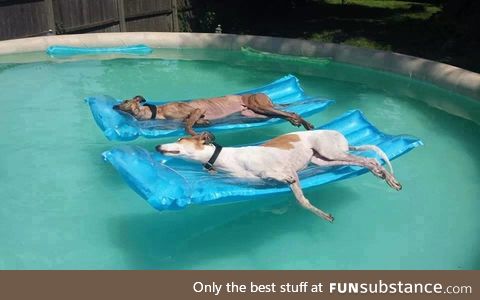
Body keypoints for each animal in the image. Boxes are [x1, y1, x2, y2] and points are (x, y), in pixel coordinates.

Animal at [157, 130, 402, 221]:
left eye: (180, 140)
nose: (158, 147)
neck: (227, 158)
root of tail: (342, 136)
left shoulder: (288, 170)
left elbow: (290, 187)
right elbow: (301, 200)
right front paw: (322, 214)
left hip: (332, 151)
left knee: (370, 160)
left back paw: (389, 178)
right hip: (324, 159)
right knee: (367, 161)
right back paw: (382, 175)